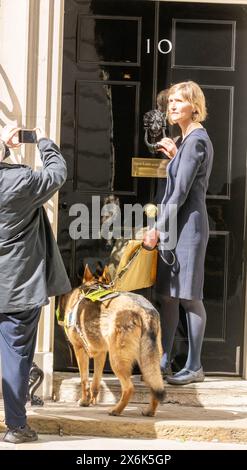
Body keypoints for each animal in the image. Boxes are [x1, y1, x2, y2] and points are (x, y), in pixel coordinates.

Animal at [58, 266, 165, 416]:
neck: (93, 287)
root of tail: (143, 311)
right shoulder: (101, 353)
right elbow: (95, 382)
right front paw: (92, 401)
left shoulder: (79, 350)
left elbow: (84, 380)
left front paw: (84, 401)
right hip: (149, 362)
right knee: (155, 386)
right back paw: (149, 411)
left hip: (117, 361)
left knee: (129, 388)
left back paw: (116, 410)